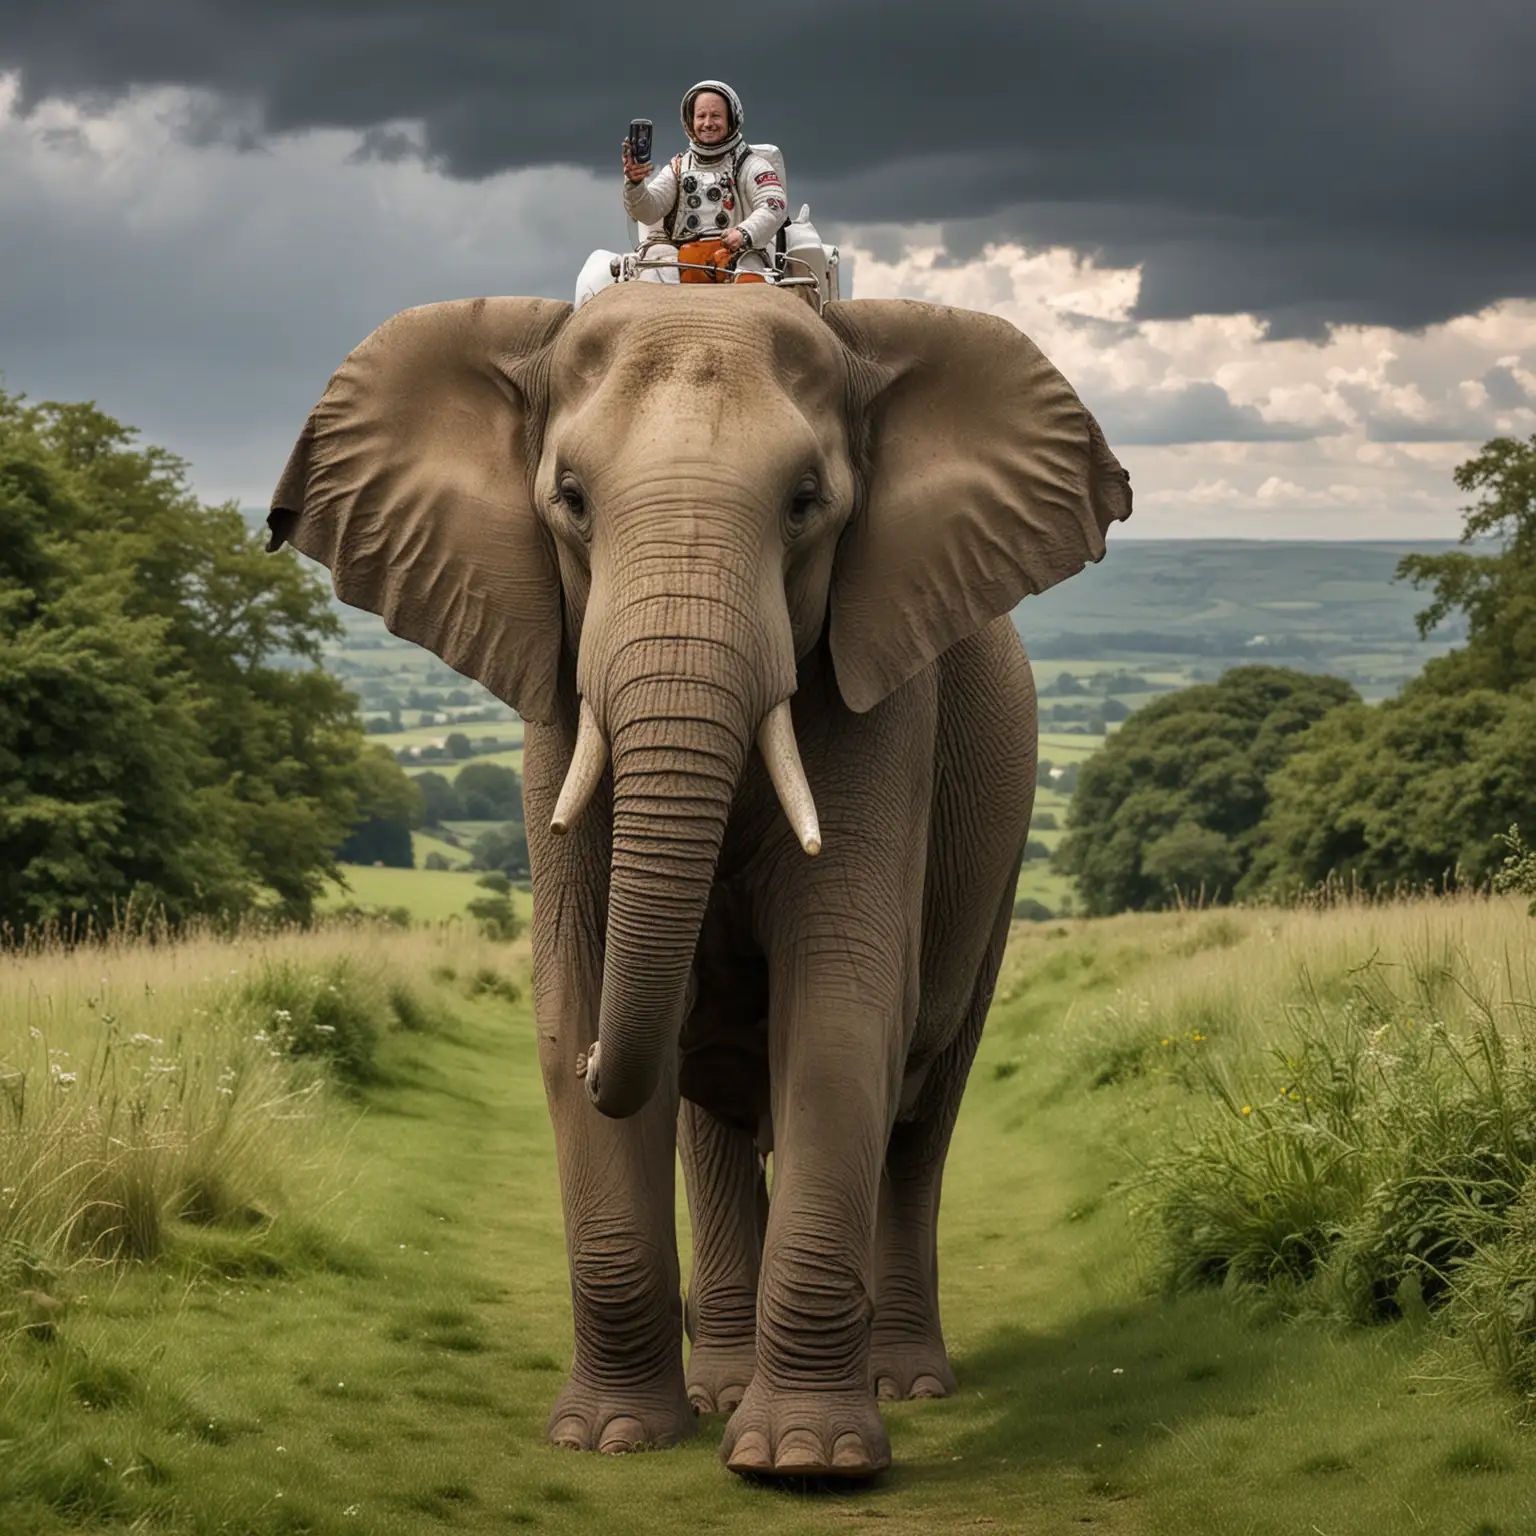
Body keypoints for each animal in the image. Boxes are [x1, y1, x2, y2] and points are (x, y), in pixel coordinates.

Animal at [267, 282, 1130, 1480]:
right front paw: (612, 1438)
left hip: (995, 867)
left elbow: (842, 1010)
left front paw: (806, 1461)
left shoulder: (880, 704)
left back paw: (903, 1382)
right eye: (571, 502)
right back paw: (721, 1385)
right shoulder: (554, 690)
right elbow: (582, 993)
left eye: (808, 504)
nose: (603, 1065)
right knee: (714, 1122)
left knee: (923, 1111)